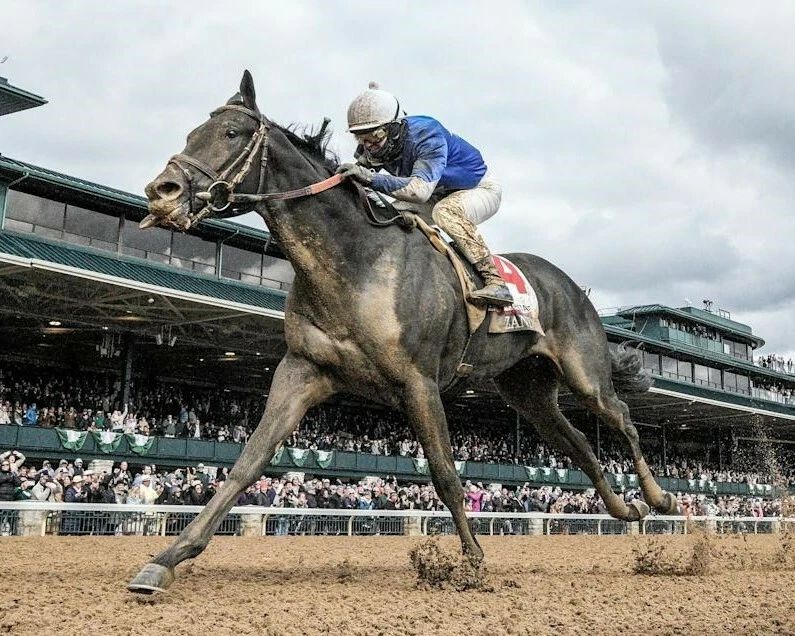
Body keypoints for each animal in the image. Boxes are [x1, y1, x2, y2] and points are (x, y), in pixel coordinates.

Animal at [128, 70, 677, 593]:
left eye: (231, 133)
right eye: (191, 133)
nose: (162, 191)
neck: (355, 261)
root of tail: (574, 287)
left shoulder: (419, 382)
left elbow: (445, 472)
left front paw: (472, 562)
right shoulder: (303, 370)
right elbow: (247, 462)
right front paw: (166, 559)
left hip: (585, 373)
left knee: (622, 417)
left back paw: (659, 497)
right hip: (528, 391)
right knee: (577, 441)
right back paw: (626, 509)